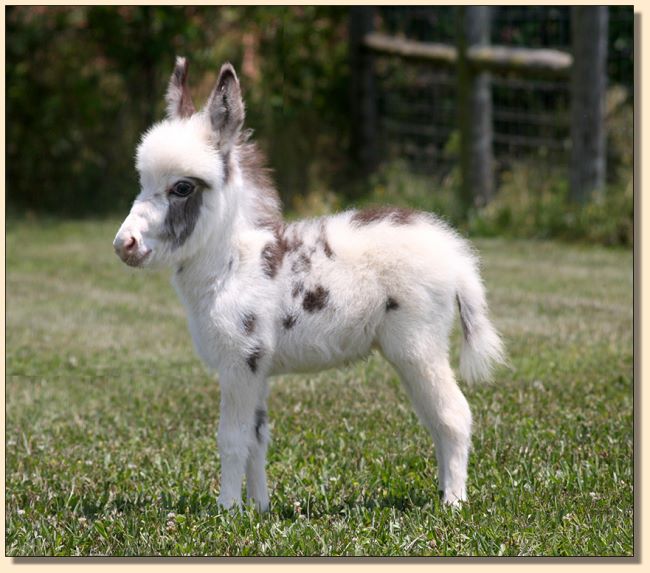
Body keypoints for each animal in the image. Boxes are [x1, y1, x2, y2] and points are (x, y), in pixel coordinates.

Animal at [114, 58, 504, 510]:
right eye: (142, 182)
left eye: (182, 187)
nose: (123, 244)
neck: (234, 263)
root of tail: (455, 254)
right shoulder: (257, 367)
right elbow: (257, 439)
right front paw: (258, 509)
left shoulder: (239, 362)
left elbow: (231, 439)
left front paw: (226, 510)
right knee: (437, 420)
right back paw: (443, 491)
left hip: (417, 346)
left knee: (453, 416)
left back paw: (453, 504)